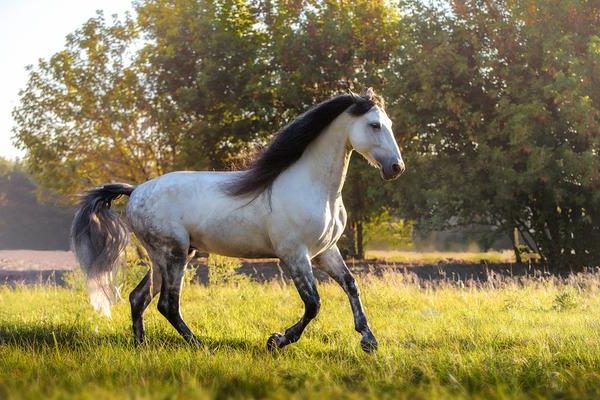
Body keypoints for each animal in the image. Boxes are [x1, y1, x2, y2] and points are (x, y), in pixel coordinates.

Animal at [72, 88, 406, 354]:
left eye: (389, 124)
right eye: (374, 125)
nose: (396, 168)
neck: (315, 188)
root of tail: (136, 191)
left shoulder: (325, 252)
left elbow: (351, 285)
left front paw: (368, 341)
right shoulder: (295, 255)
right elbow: (313, 304)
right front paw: (276, 340)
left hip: (164, 257)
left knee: (138, 298)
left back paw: (141, 346)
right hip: (174, 254)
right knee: (167, 304)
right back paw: (200, 346)